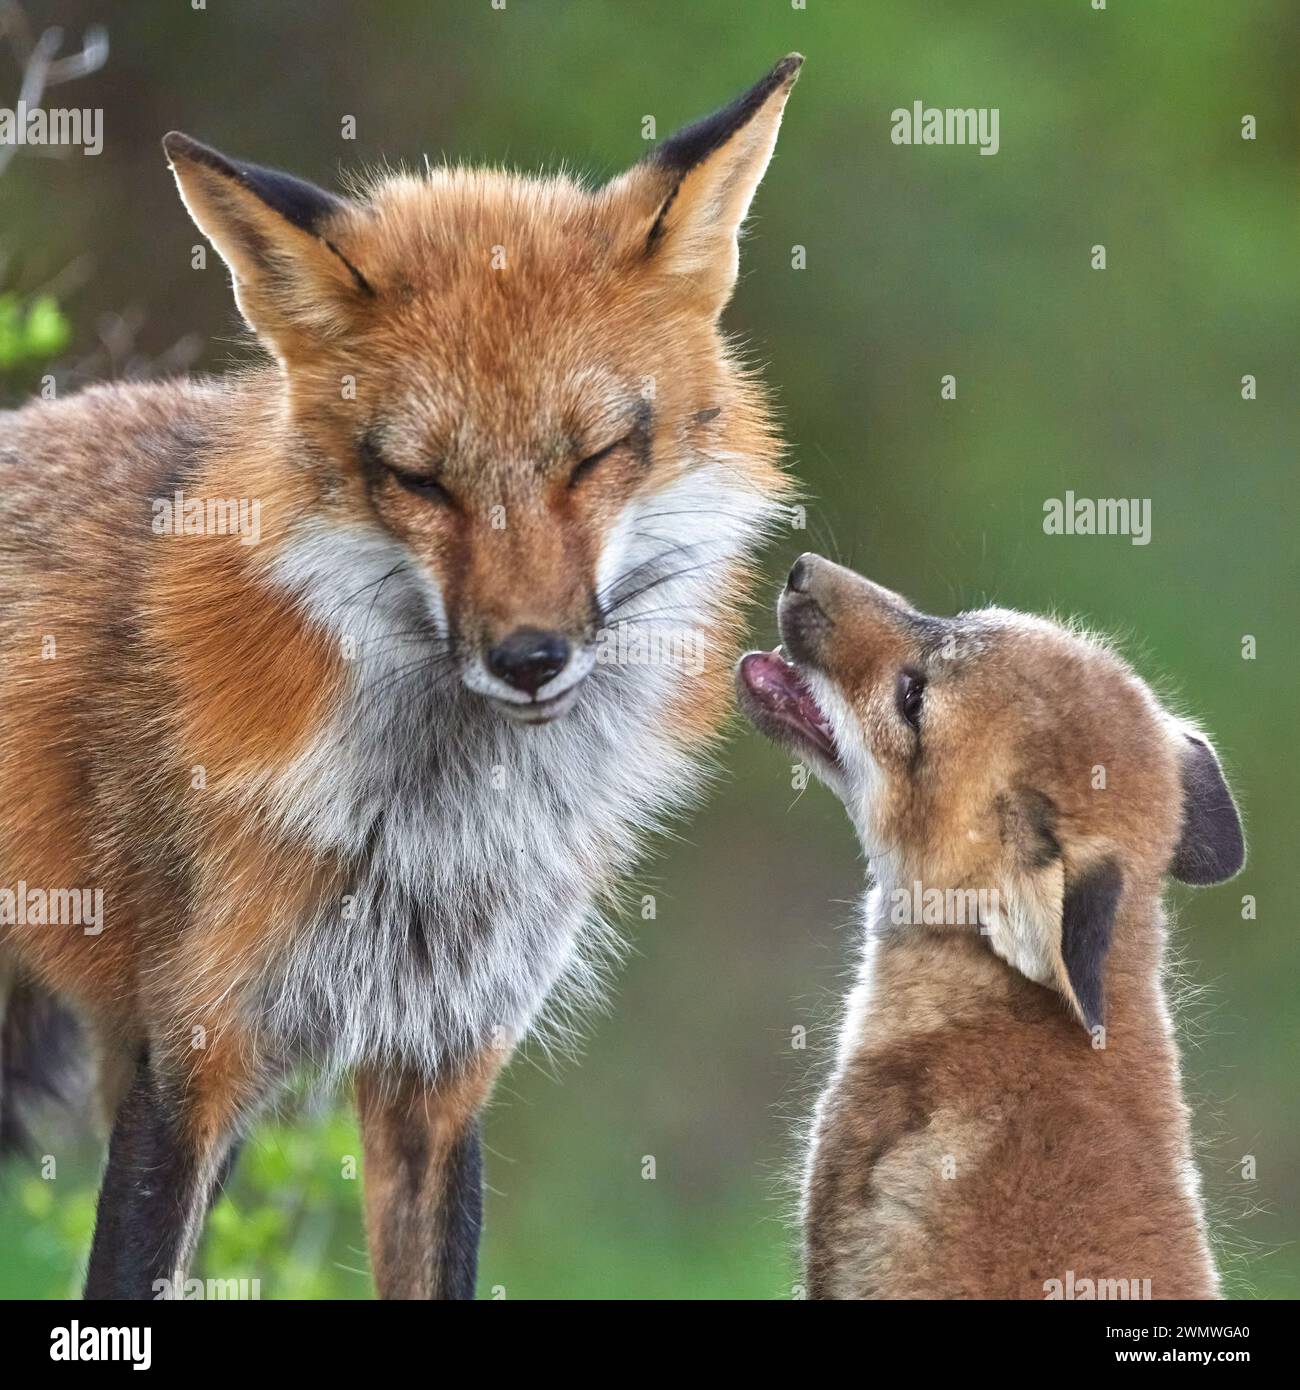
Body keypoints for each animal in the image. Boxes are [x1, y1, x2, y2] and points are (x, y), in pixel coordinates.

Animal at [0, 55, 803, 1299]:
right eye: (420, 481)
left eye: (594, 457)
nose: (530, 657)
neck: (432, 823)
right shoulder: (186, 1058)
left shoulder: (442, 1065)